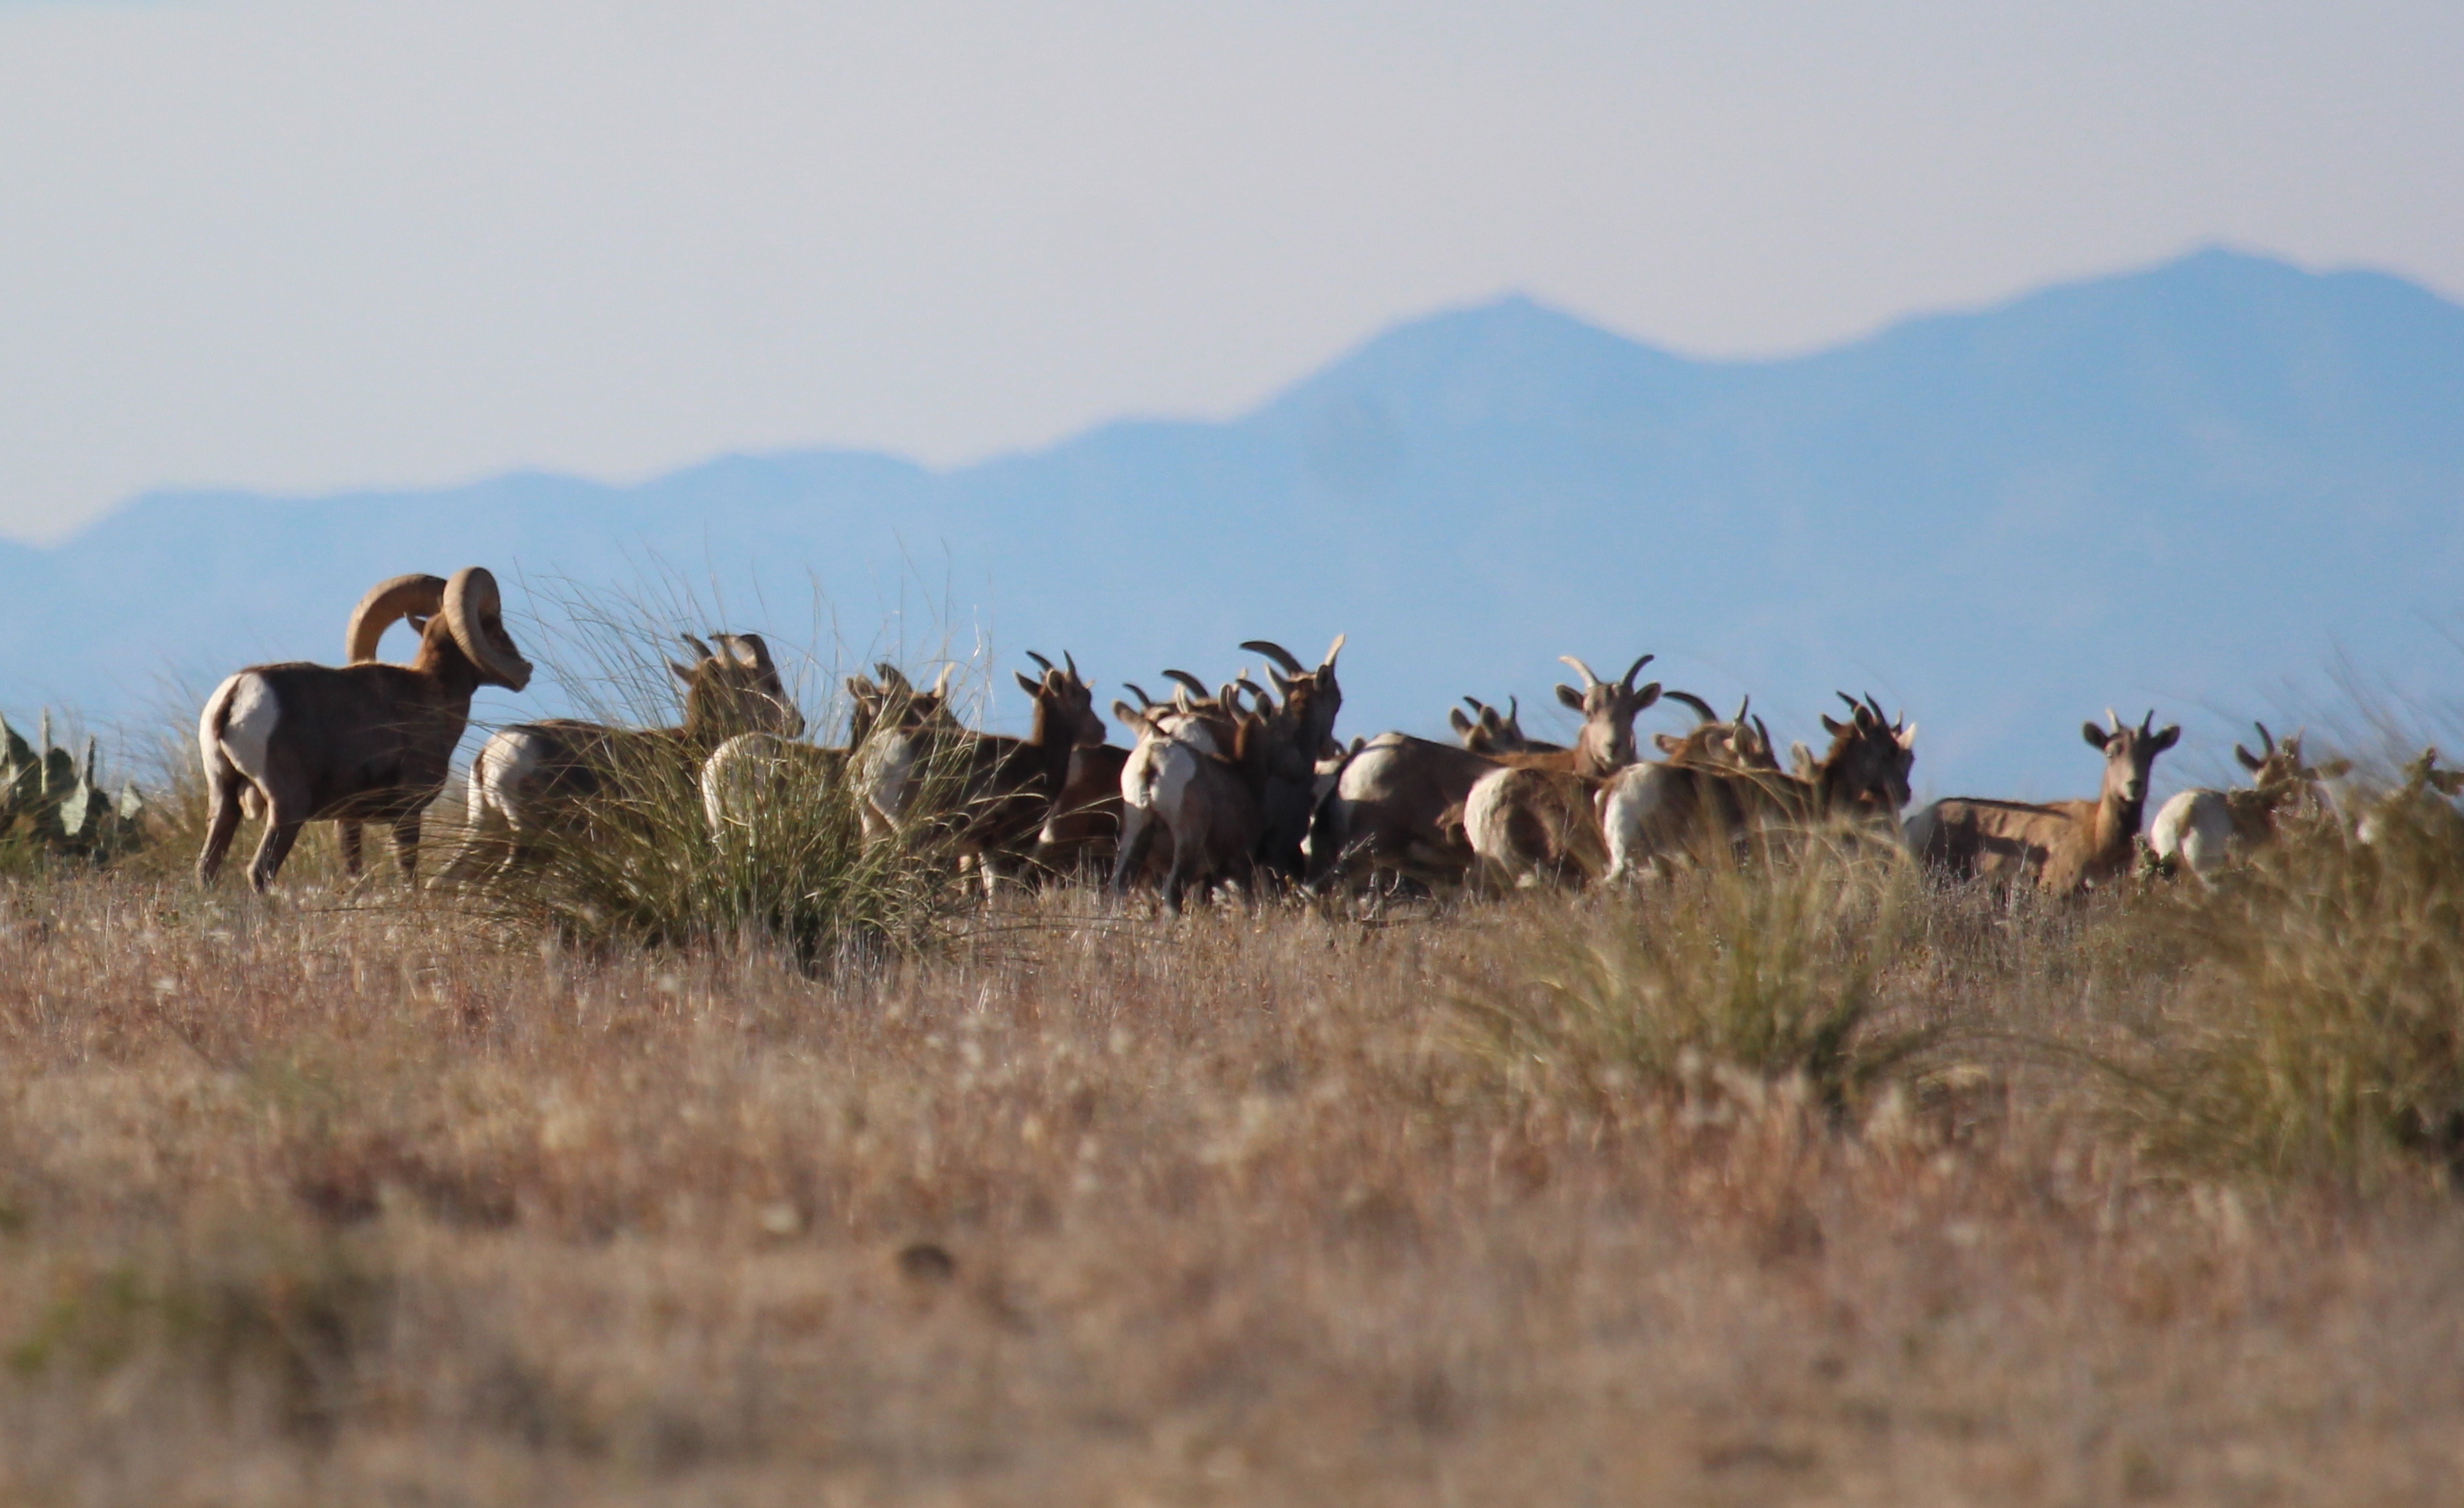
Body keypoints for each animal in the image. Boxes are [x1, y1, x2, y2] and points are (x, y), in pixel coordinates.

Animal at [197, 568, 533, 892]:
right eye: (495, 628)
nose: (525, 671)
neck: (431, 695)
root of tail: (236, 693)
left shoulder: (348, 819)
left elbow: (354, 873)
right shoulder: (406, 812)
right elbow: (408, 874)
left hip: (224, 800)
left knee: (207, 869)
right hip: (288, 809)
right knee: (259, 871)